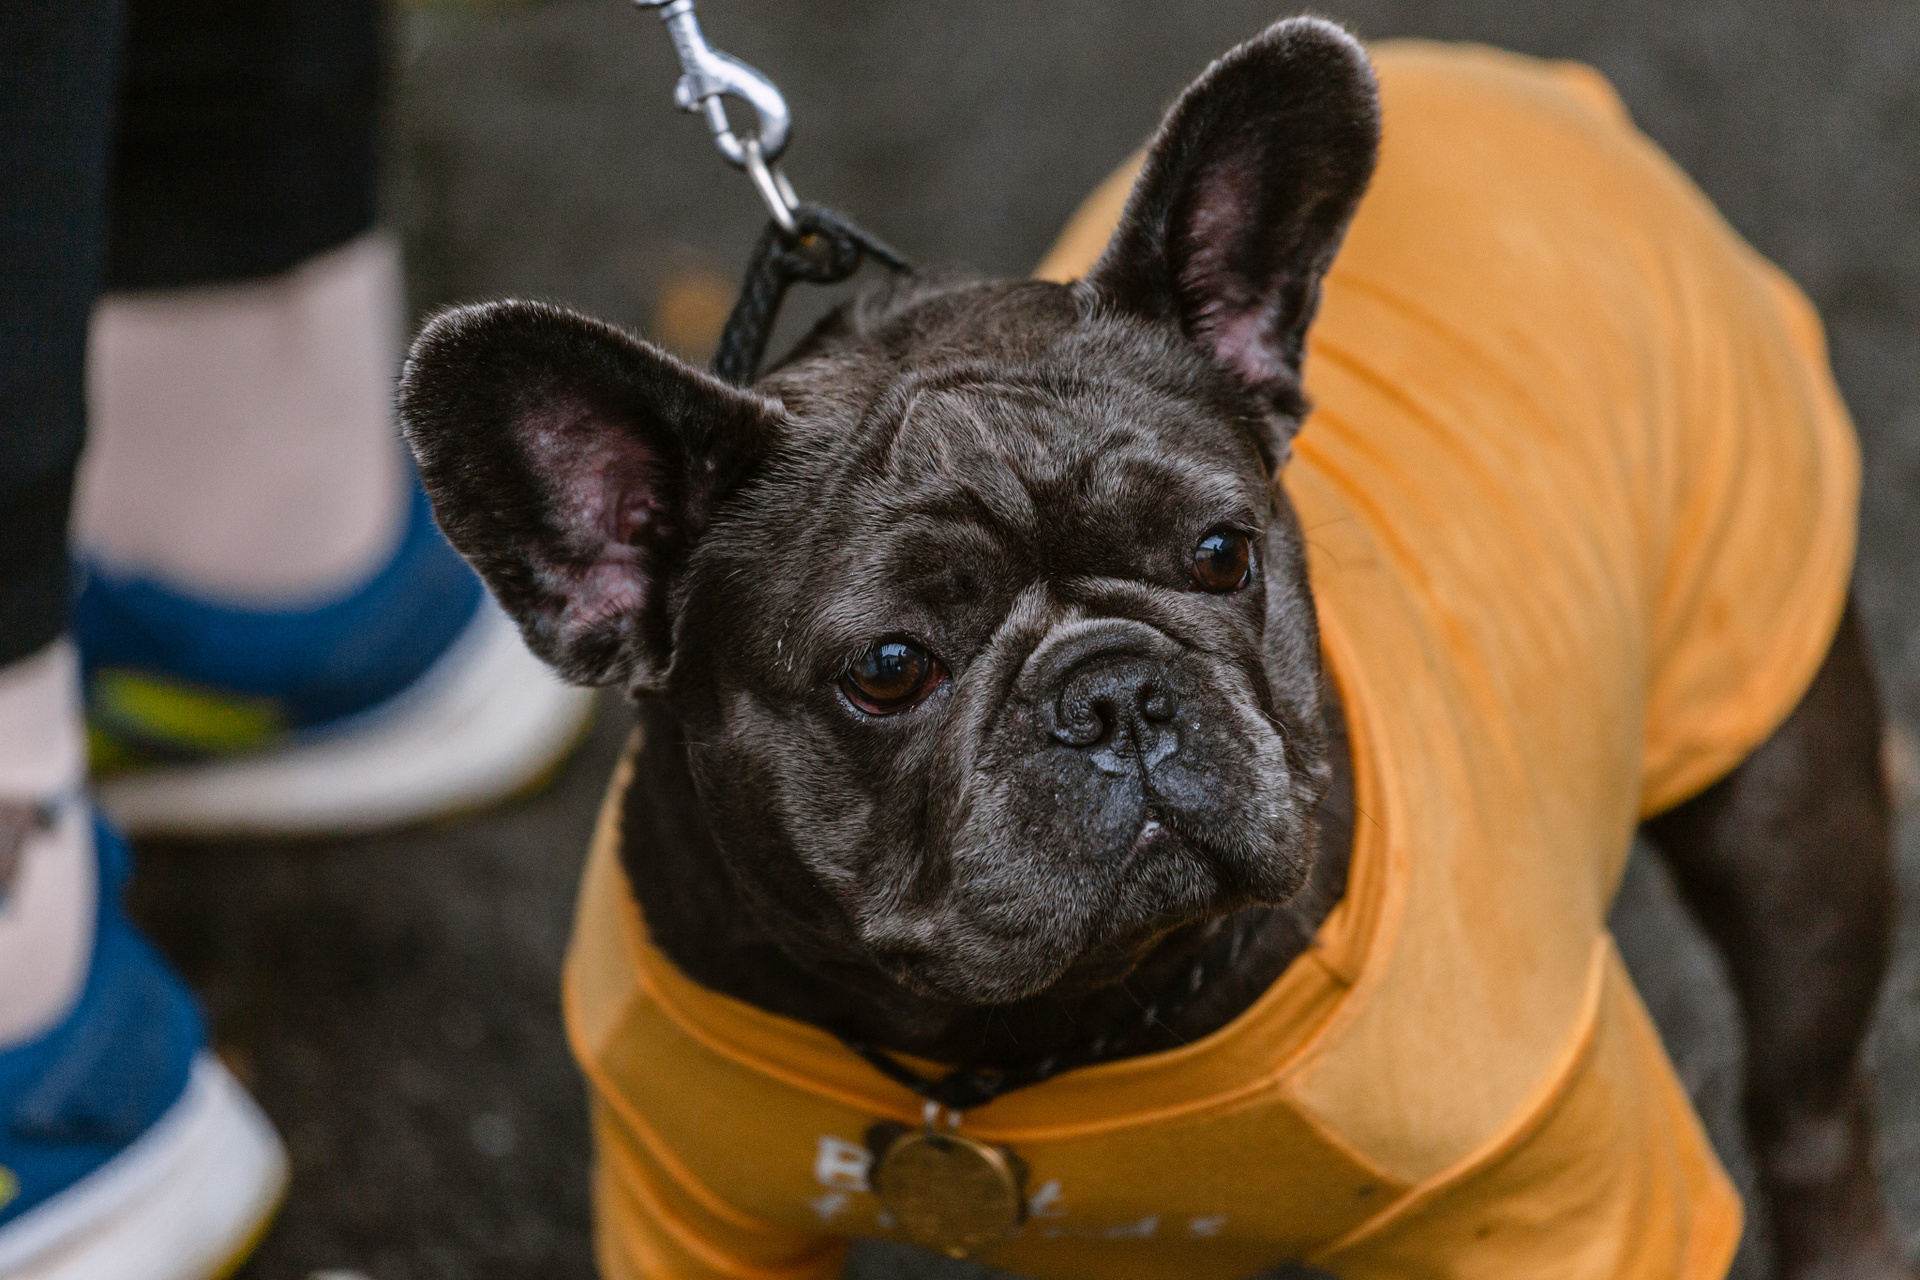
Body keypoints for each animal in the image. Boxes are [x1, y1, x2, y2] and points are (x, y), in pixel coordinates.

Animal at [398, 17, 1904, 1280]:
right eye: (889, 668)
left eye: (1221, 554)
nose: (1114, 690)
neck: (1017, 1056)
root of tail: (1544, 84)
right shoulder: (691, 1205)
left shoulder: (1553, 1197)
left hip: (1784, 776)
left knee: (1810, 1101)